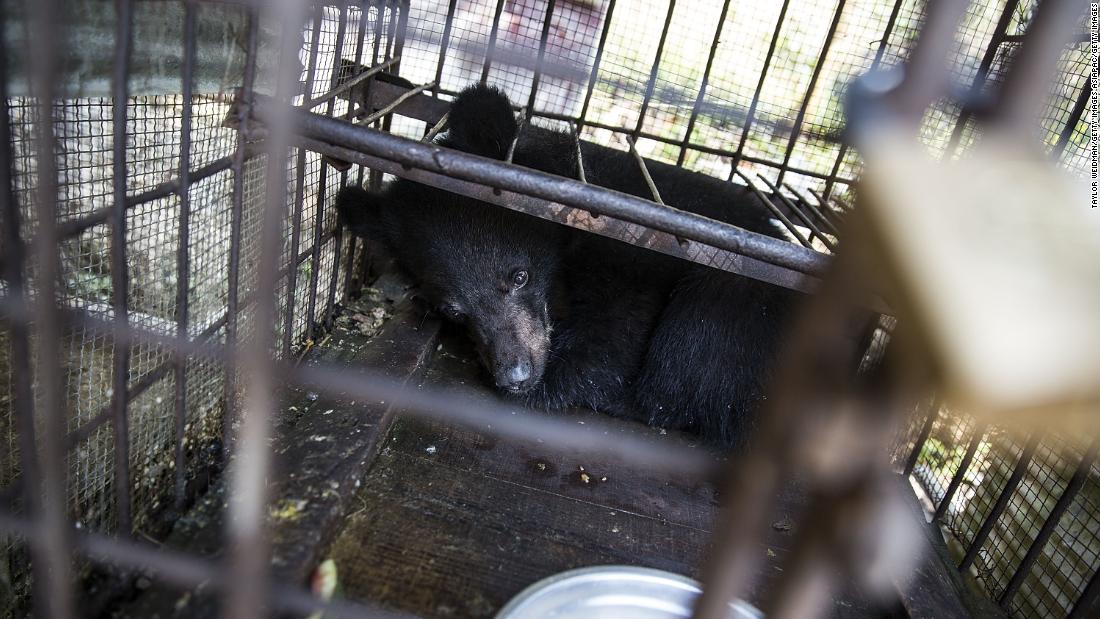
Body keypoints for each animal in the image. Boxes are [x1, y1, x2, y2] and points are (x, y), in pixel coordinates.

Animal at [334, 83, 800, 450]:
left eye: (519, 275)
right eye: (453, 309)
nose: (515, 374)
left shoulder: (629, 250)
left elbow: (616, 326)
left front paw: (555, 381)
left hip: (735, 298)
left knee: (690, 355)